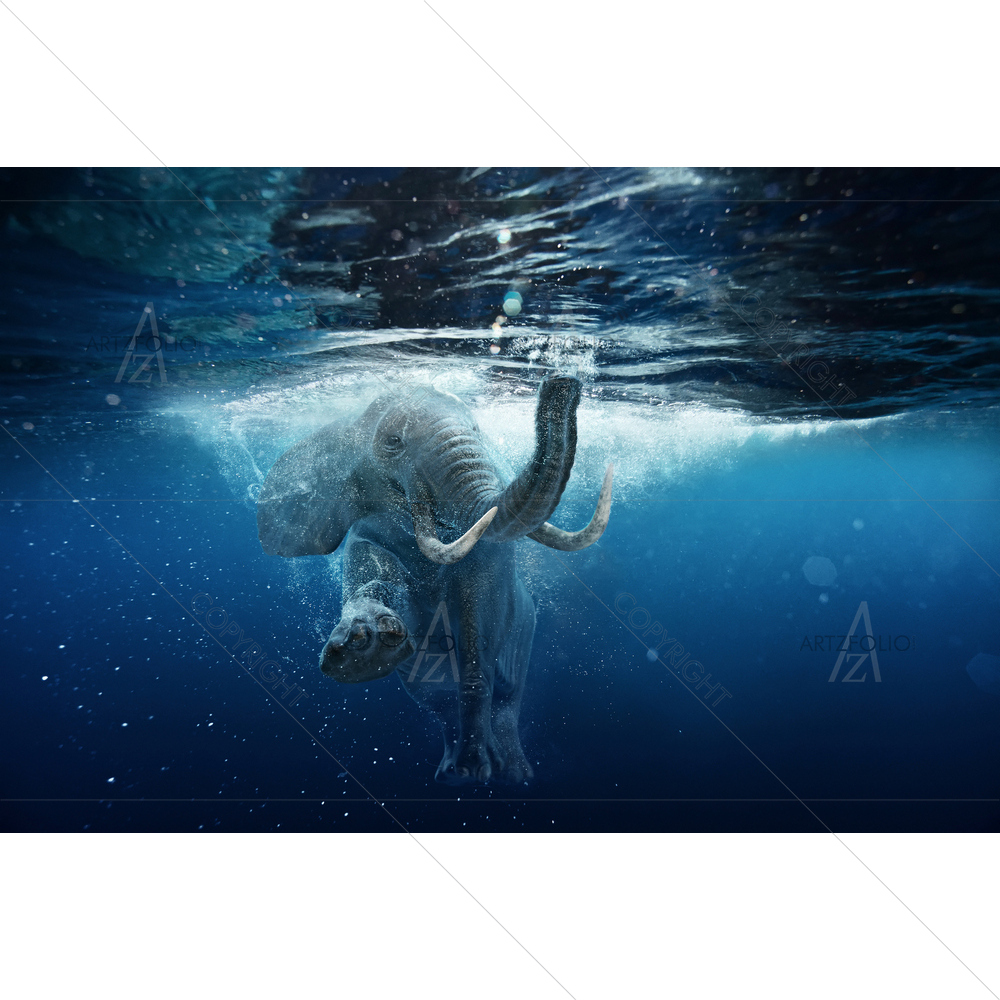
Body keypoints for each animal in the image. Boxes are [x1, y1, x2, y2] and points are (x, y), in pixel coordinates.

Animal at [256, 374, 613, 784]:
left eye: (476, 430)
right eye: (393, 442)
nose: (562, 385)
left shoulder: (490, 567)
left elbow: (478, 641)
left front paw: (478, 768)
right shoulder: (367, 535)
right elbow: (372, 580)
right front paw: (363, 648)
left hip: (525, 632)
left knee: (508, 697)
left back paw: (508, 774)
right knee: (437, 700)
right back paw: (451, 774)